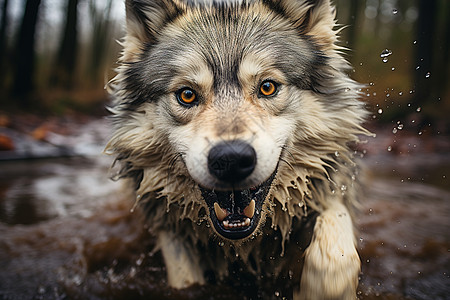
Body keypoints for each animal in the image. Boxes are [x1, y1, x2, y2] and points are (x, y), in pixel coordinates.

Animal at [105, 0, 370, 296]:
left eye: (267, 87)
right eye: (187, 95)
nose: (231, 160)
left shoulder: (329, 187)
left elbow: (335, 244)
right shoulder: (167, 224)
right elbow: (184, 277)